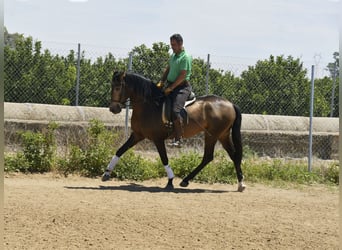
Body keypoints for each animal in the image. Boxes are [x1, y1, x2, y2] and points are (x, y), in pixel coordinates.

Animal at [101, 71, 246, 192]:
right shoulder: (137, 135)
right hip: (222, 135)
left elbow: (164, 158)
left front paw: (170, 181)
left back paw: (186, 180)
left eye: (118, 88)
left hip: (213, 135)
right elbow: (120, 150)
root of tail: (230, 104)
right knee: (232, 156)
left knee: (209, 157)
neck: (149, 105)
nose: (113, 108)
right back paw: (240, 184)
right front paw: (107, 173)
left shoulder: (158, 139)